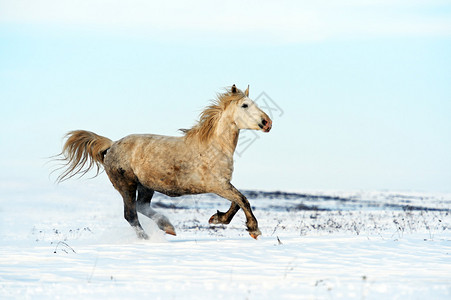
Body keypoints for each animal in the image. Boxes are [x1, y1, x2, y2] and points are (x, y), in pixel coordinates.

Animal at [58, 85, 274, 239]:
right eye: (245, 105)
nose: (267, 123)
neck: (213, 147)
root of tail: (111, 145)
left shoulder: (223, 184)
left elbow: (237, 202)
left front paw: (217, 218)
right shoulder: (217, 185)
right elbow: (242, 200)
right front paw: (254, 229)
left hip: (146, 186)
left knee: (141, 207)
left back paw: (168, 227)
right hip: (126, 184)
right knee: (131, 214)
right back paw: (147, 238)